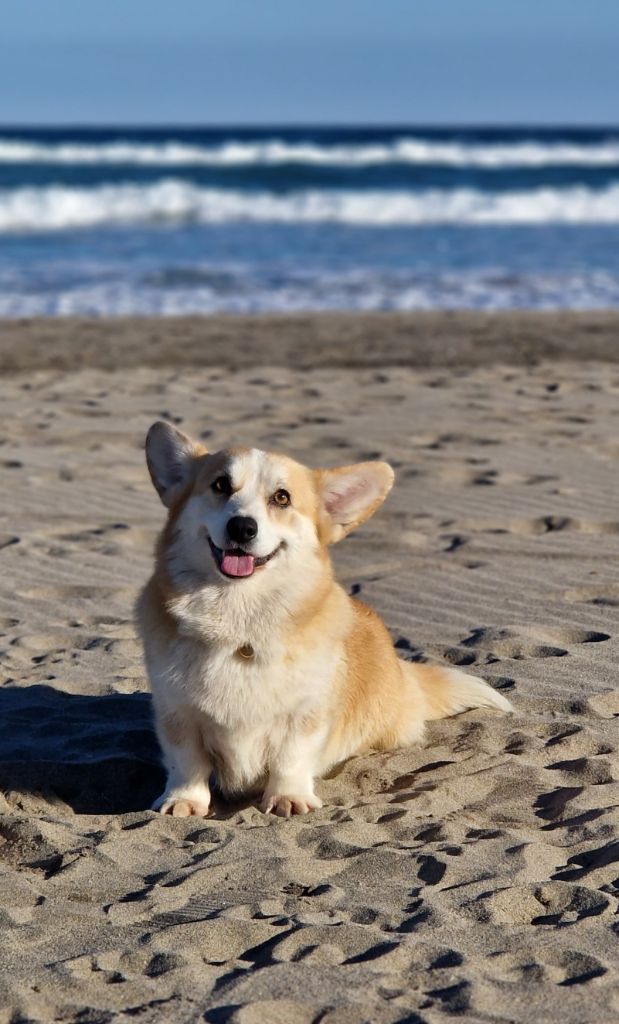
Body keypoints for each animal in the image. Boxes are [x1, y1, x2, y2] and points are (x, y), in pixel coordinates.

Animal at [137, 419, 510, 819]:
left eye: (281, 498)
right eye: (221, 485)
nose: (242, 528)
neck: (240, 617)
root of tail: (403, 673)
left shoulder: (305, 714)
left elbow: (291, 758)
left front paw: (288, 797)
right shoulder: (177, 713)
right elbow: (186, 762)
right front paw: (184, 800)